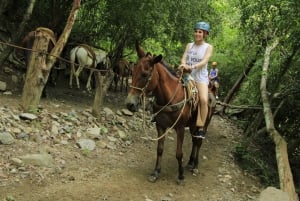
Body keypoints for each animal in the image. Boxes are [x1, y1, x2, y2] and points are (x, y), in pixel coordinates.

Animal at [124, 42, 216, 184]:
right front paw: (156, 172)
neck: (170, 98)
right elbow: (160, 150)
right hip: (193, 125)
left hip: (204, 124)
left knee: (199, 142)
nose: (130, 104)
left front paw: (181, 175)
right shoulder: (160, 126)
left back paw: (195, 165)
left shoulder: (180, 128)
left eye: (144, 74)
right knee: (194, 141)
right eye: (132, 72)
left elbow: (179, 153)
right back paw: (190, 162)